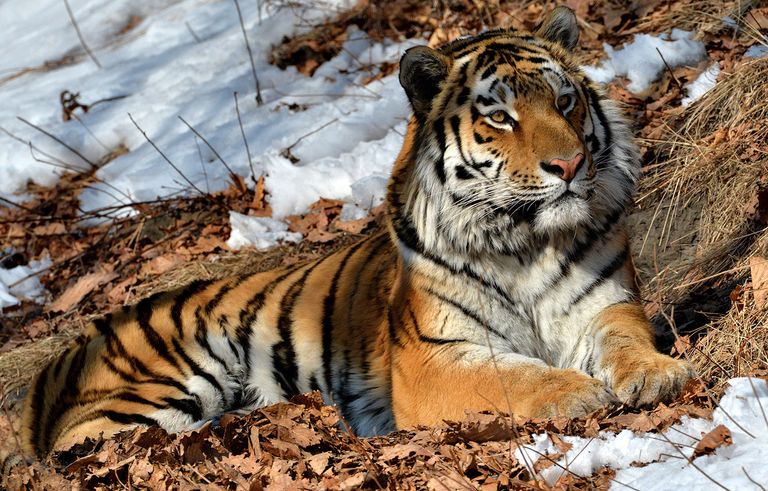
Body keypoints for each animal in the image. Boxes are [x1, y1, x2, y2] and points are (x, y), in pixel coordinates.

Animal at [20, 6, 694, 458]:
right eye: (501, 117)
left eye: (565, 101)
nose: (570, 165)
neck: (524, 242)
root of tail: (68, 351)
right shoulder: (434, 357)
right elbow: (510, 373)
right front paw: (573, 392)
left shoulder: (608, 307)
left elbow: (625, 343)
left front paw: (658, 373)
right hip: (159, 391)